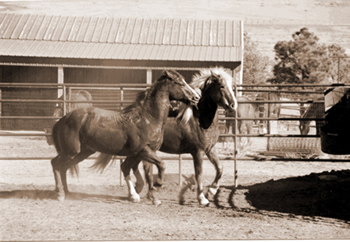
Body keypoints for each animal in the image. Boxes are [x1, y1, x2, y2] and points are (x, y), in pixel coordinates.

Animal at [50, 71, 201, 205]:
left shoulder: (141, 153)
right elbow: (160, 165)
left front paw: (150, 197)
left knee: (63, 168)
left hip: (82, 152)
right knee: (55, 164)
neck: (148, 119)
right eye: (180, 83)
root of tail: (63, 119)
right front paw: (156, 185)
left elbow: (140, 172)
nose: (196, 97)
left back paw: (67, 193)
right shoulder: (143, 151)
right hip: (70, 152)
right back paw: (60, 194)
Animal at [93, 68, 238, 206]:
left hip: (140, 152)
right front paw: (202, 199)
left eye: (231, 86)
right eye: (221, 86)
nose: (233, 105)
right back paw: (139, 192)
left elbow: (220, 168)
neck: (199, 119)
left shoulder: (210, 149)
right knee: (130, 167)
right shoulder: (198, 152)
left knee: (129, 167)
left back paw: (136, 192)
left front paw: (212, 190)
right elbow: (199, 174)